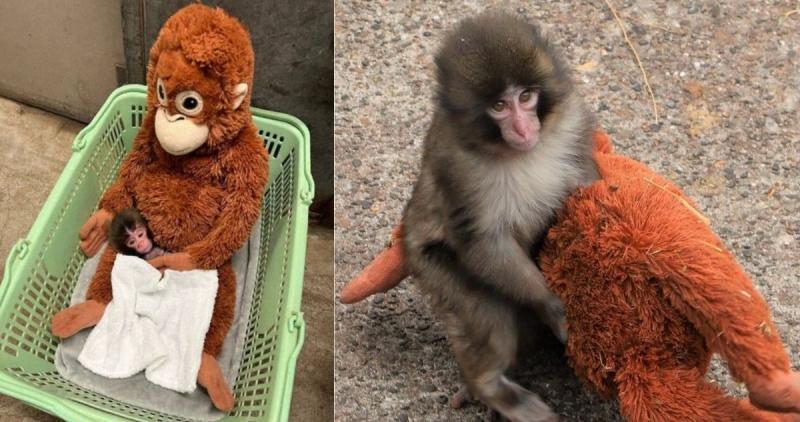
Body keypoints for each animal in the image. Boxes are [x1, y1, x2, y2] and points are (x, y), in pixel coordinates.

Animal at [402, 13, 599, 421]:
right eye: (498, 106)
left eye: (525, 97)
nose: (523, 128)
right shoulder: (456, 166)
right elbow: (481, 242)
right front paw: (551, 304)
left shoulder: (572, 121)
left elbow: (584, 183)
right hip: (431, 268)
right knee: (489, 314)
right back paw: (489, 387)